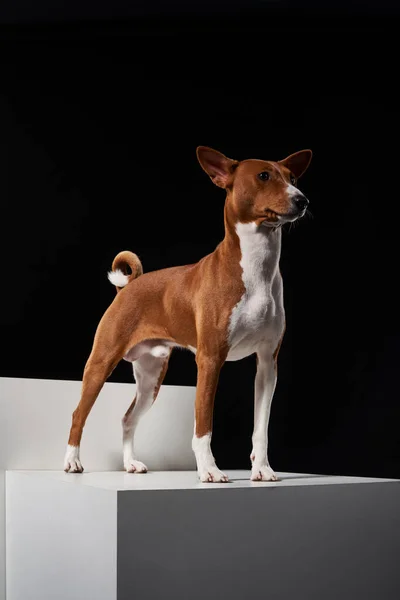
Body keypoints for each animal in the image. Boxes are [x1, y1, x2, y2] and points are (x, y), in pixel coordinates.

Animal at [63, 146, 312, 482]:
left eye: (293, 178)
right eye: (263, 176)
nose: (302, 200)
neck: (257, 270)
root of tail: (128, 287)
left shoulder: (266, 364)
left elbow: (261, 428)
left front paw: (261, 468)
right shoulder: (210, 359)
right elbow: (203, 424)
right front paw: (209, 470)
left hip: (151, 376)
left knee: (128, 418)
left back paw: (130, 463)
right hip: (101, 363)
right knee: (79, 413)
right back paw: (72, 461)